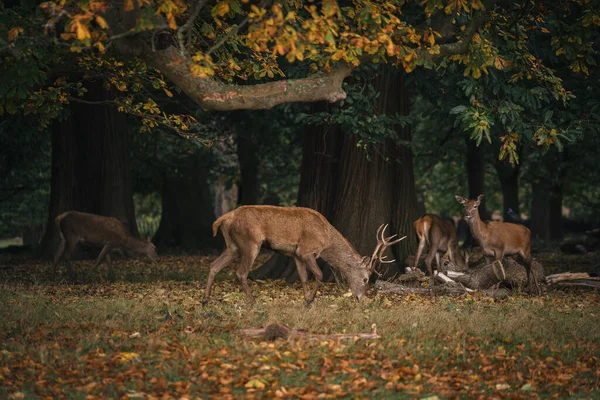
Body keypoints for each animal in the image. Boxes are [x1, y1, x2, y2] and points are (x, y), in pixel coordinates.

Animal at [204, 206, 406, 306]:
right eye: (365, 279)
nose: (361, 299)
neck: (326, 239)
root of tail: (224, 218)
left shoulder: (296, 254)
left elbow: (303, 277)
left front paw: (305, 300)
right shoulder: (306, 250)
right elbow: (319, 275)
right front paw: (309, 300)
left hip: (233, 245)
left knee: (214, 265)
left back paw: (205, 300)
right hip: (250, 242)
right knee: (241, 273)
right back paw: (253, 302)